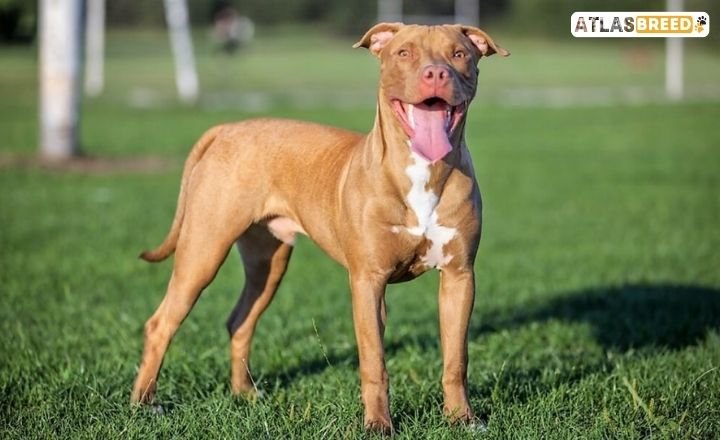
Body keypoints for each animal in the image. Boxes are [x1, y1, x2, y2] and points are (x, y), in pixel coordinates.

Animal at [132, 23, 510, 434]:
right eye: (404, 53)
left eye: (459, 54)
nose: (436, 73)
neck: (423, 170)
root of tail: (227, 128)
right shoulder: (368, 281)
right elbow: (374, 362)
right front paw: (378, 425)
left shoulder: (459, 277)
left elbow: (456, 359)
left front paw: (462, 419)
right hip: (203, 251)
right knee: (161, 323)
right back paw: (144, 404)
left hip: (268, 263)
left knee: (240, 321)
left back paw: (244, 394)